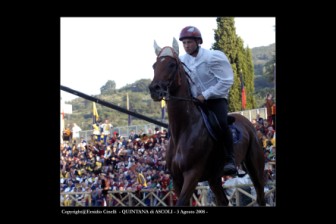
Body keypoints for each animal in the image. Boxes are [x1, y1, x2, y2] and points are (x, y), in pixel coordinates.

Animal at [149, 38, 266, 206]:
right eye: (154, 65)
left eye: (171, 64)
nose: (155, 89)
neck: (184, 130)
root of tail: (247, 122)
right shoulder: (177, 179)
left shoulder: (192, 174)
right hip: (214, 178)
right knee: (223, 201)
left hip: (255, 167)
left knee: (260, 195)